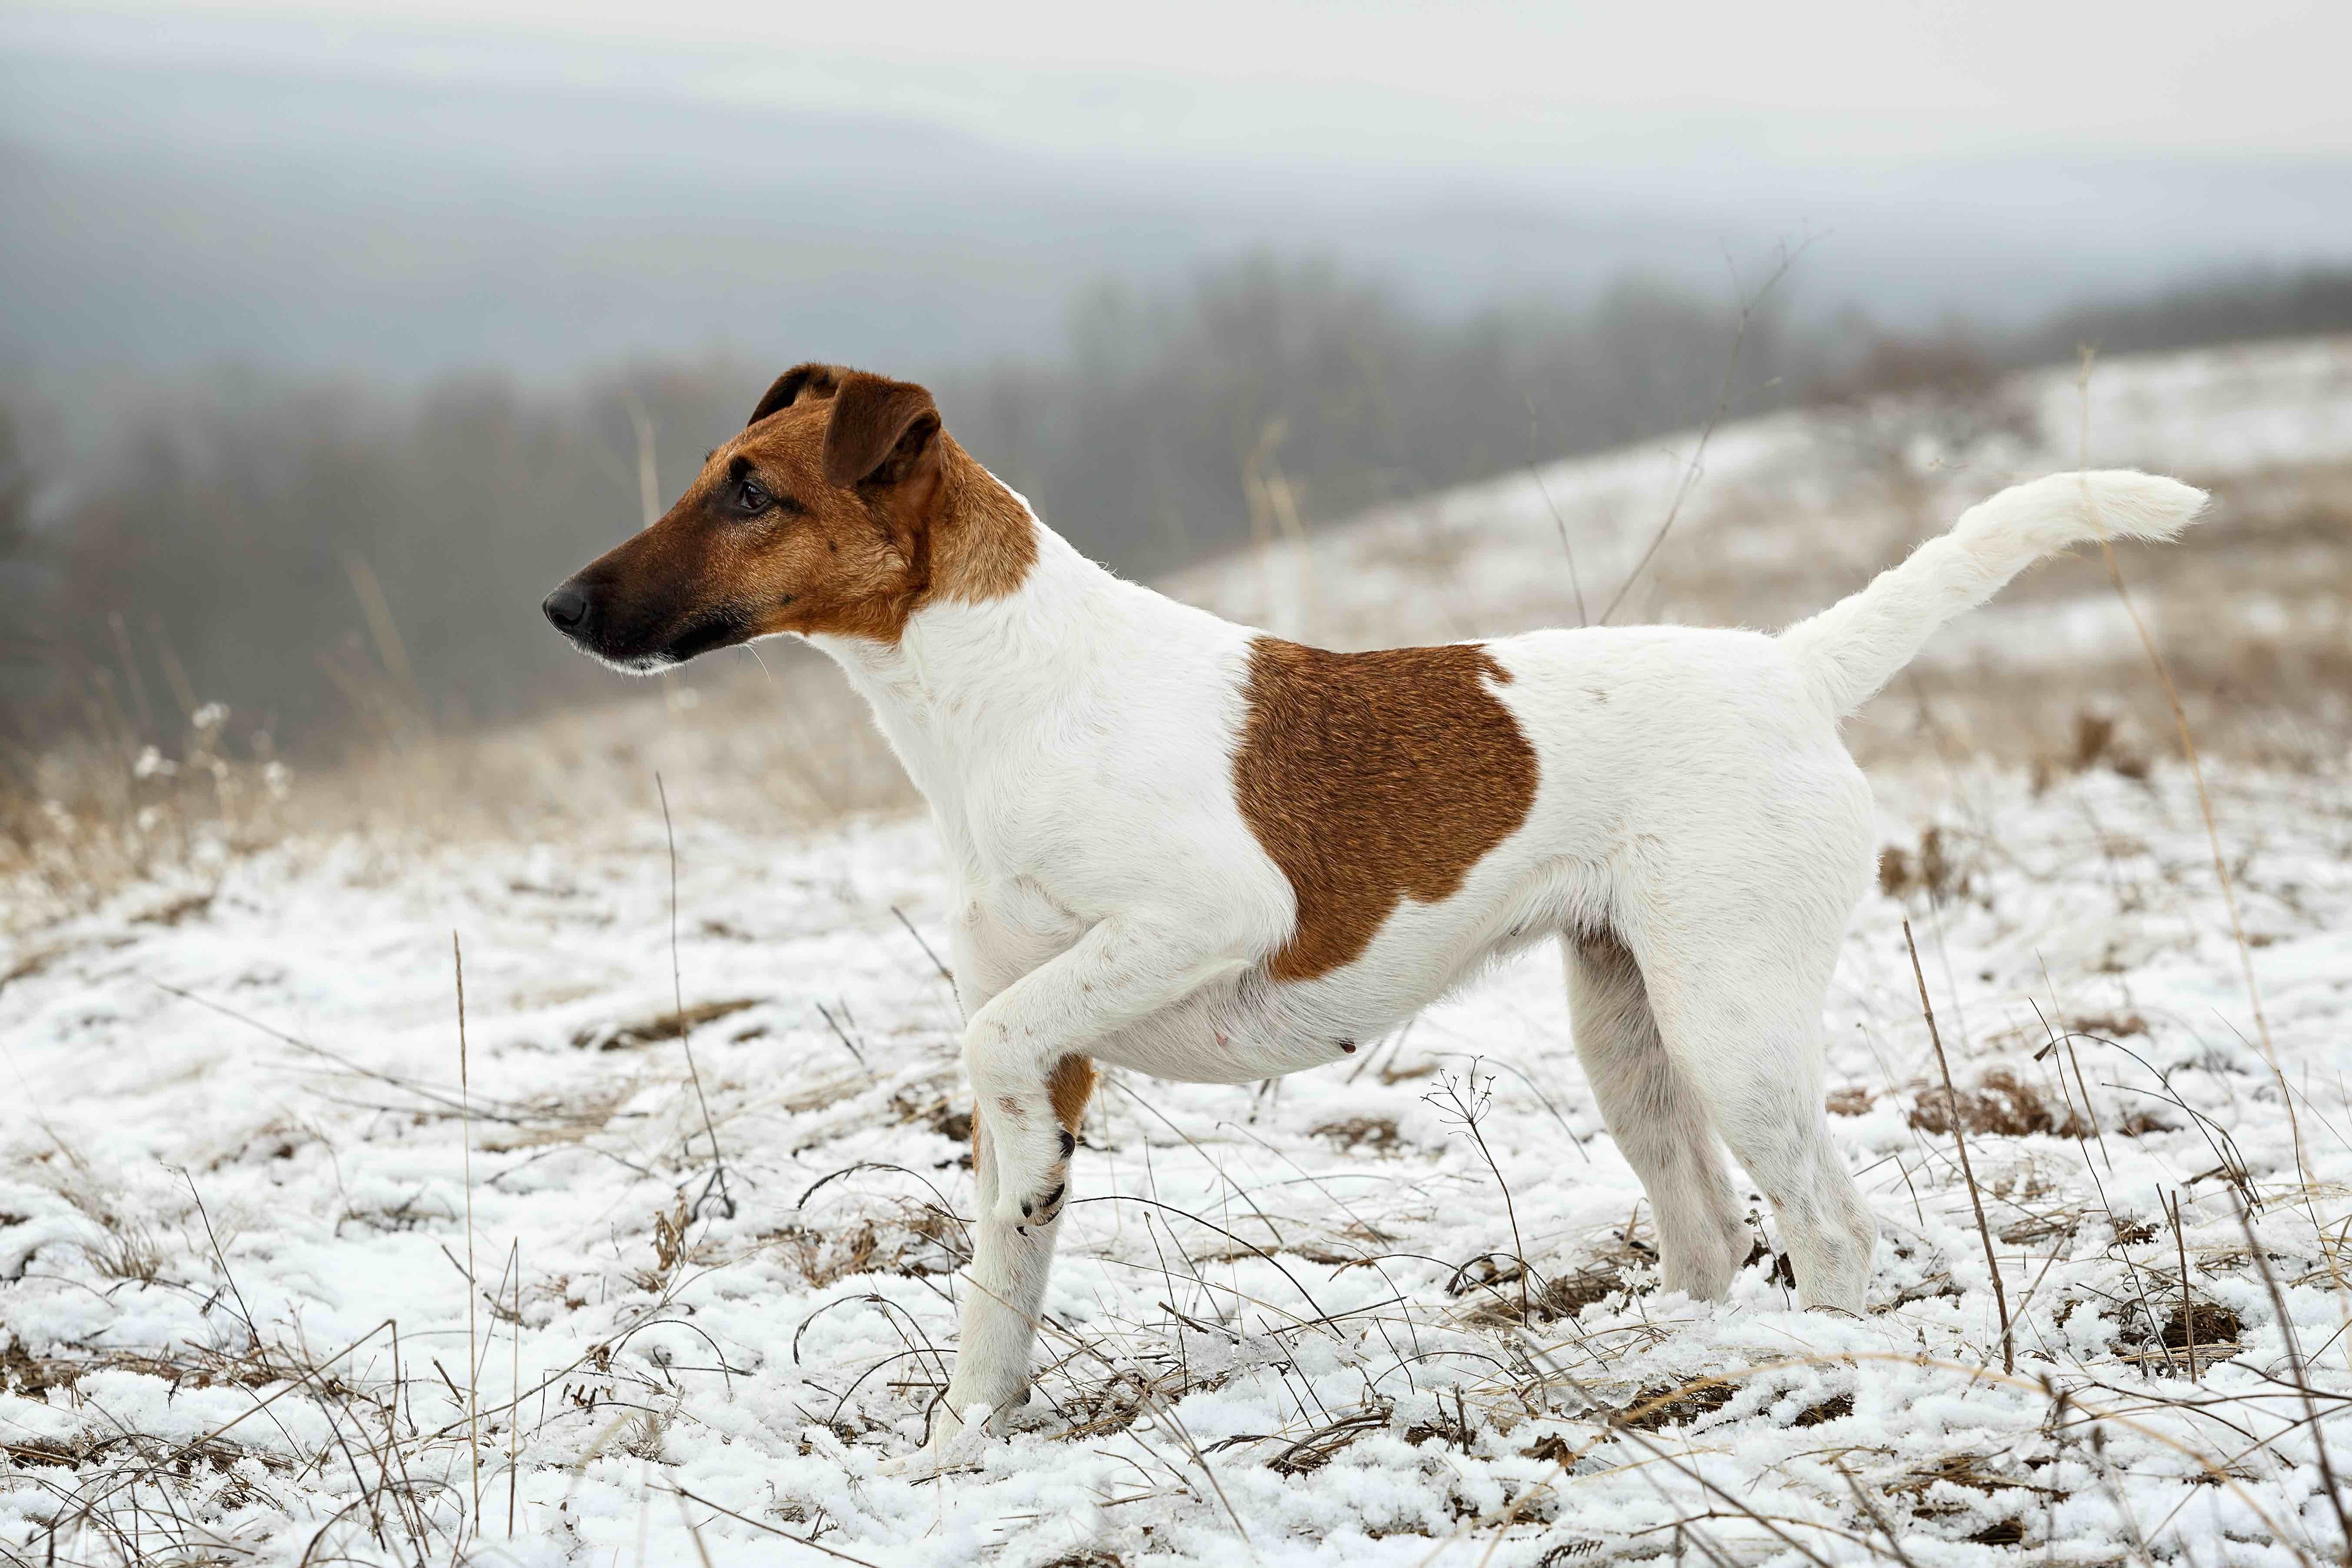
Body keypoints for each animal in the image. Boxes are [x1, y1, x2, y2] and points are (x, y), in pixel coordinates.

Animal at [546, 362, 2201, 1467]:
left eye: (752, 490)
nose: (560, 609)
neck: (1003, 686)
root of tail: (1791, 668)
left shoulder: (1201, 916)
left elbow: (1000, 1046)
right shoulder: (1060, 1034)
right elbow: (997, 1288)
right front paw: (964, 1443)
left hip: (1733, 1023)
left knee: (1832, 1223)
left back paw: (1802, 1371)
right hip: (1628, 1032)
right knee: (1709, 1225)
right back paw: (1682, 1359)